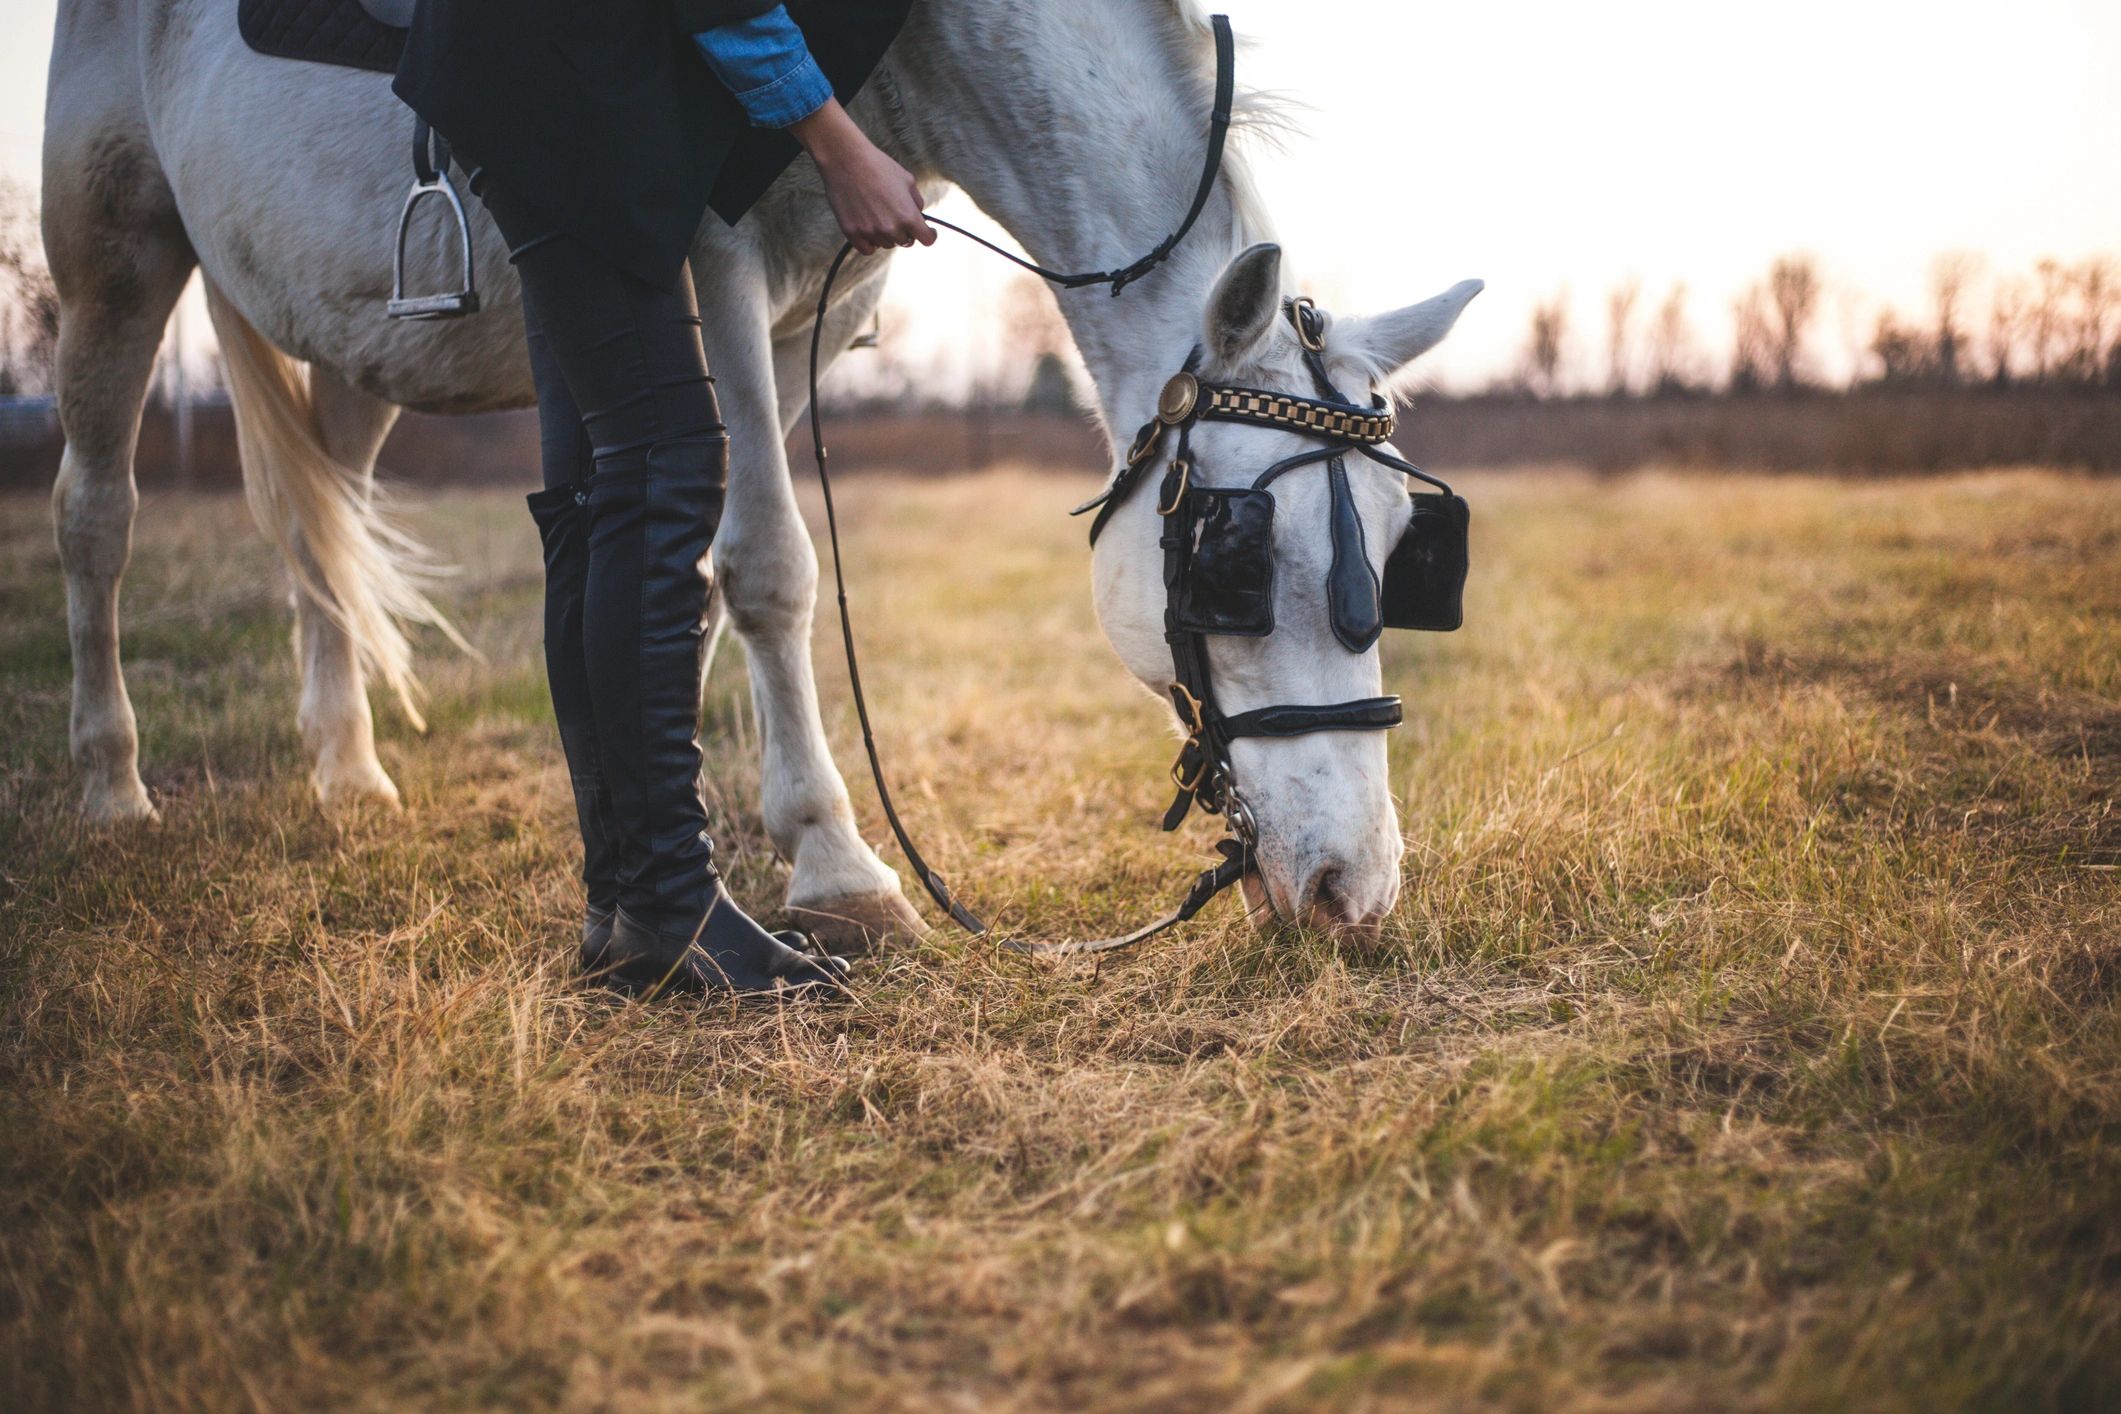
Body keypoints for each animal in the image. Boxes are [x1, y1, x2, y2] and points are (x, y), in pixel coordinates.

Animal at [43, 0, 1480, 946]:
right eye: (1236, 556)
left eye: (1406, 550)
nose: (1357, 887)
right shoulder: (712, 263)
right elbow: (772, 567)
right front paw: (836, 863)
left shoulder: (798, 328)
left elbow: (689, 578)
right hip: (114, 256)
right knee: (95, 518)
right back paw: (111, 788)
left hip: (364, 346)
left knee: (326, 528)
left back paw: (347, 770)